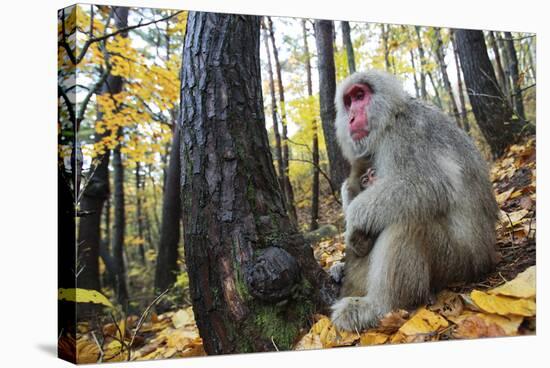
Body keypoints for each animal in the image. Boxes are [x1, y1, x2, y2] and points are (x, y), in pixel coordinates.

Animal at [332, 69, 500, 330]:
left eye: (360, 95)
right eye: (348, 102)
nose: (350, 117)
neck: (391, 118)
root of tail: (487, 257)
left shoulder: (405, 134)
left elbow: (432, 184)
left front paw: (353, 219)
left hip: (459, 262)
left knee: (408, 222)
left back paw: (379, 306)